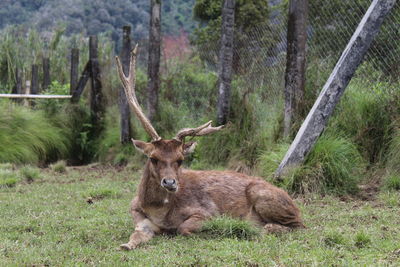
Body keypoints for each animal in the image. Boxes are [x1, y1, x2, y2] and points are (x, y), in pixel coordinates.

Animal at [115, 45, 304, 251]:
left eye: (180, 160)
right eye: (153, 158)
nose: (170, 183)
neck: (159, 211)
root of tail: (294, 204)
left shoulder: (206, 211)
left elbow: (183, 227)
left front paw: (214, 230)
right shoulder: (138, 216)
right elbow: (136, 235)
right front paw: (126, 245)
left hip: (264, 196)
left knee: (298, 226)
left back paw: (260, 227)